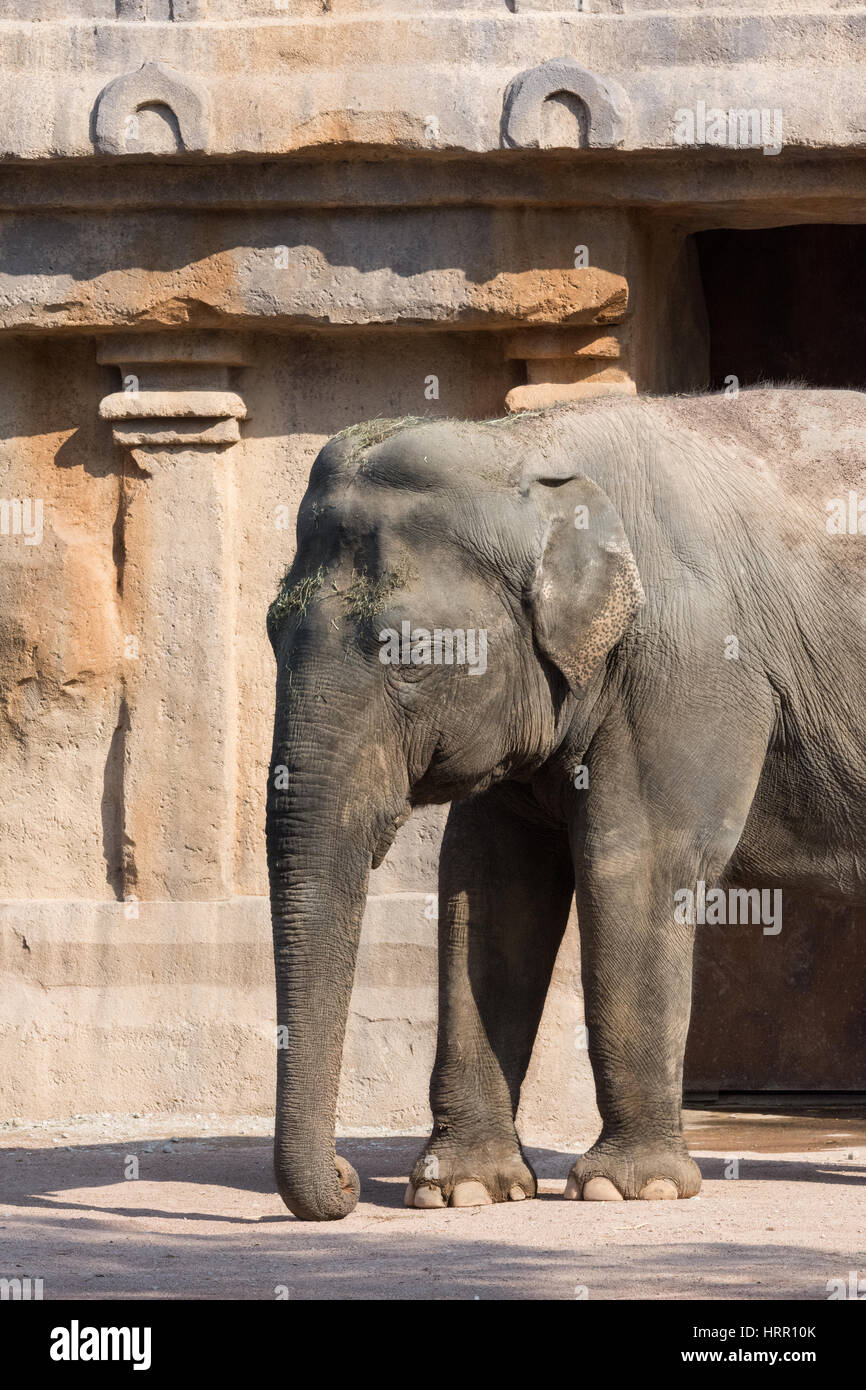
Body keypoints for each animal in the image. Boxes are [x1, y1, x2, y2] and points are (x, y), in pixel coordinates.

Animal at [265, 389, 866, 1217]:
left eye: (409, 655)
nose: (348, 1181)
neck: (530, 446)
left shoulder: (693, 665)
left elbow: (637, 862)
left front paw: (629, 1188)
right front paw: (463, 1191)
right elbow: (489, 884)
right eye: (269, 631)